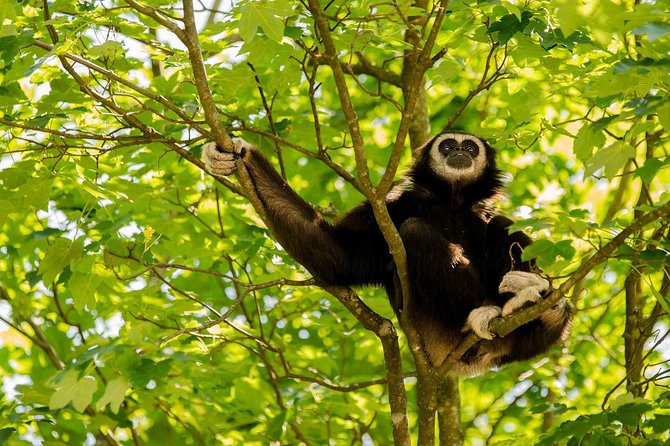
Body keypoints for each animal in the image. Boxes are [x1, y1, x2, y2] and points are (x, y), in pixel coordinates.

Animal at [203, 132, 571, 375]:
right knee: (416, 232)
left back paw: (531, 301)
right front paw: (238, 155)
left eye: (469, 147)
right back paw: (487, 310)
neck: (450, 202)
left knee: (505, 226)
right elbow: (338, 254)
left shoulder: (478, 209)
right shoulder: (392, 204)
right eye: (447, 145)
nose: (458, 151)